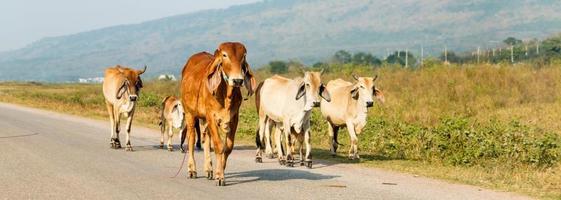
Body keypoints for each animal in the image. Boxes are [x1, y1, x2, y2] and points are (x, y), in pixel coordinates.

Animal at [179, 41, 256, 186]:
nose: (237, 80)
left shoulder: (234, 118)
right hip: (190, 114)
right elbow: (219, 146)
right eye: (224, 55)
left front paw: (219, 171)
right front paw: (220, 176)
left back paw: (209, 169)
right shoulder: (211, 116)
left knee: (206, 139)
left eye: (243, 56)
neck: (226, 95)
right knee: (191, 139)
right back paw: (192, 170)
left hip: (204, 120)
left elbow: (228, 147)